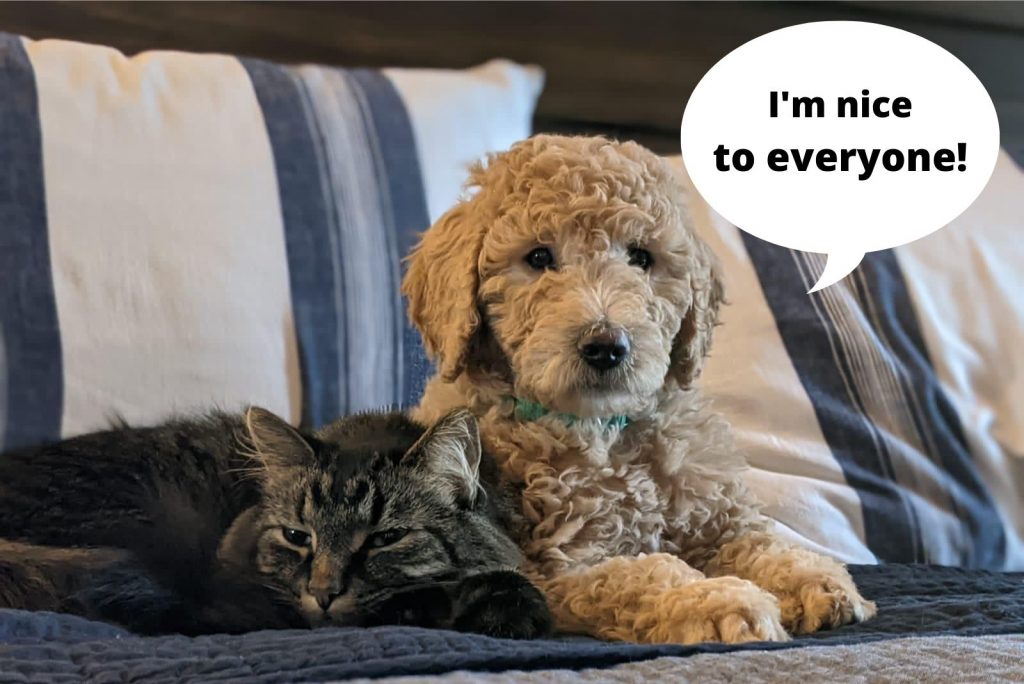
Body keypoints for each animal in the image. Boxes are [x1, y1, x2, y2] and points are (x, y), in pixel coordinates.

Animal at [403, 135, 876, 647]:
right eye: (538, 258)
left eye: (642, 258)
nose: (606, 347)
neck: (605, 429)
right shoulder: (559, 569)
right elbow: (642, 575)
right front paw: (723, 602)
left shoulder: (719, 519)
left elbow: (758, 541)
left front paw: (815, 577)